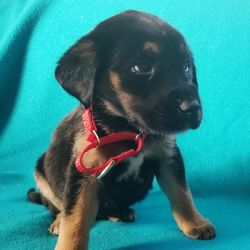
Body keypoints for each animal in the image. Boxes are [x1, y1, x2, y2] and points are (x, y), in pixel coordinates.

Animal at [27, 10, 215, 250]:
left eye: (186, 67)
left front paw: (196, 223)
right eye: (141, 67)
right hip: (41, 172)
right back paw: (59, 221)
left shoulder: (168, 156)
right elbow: (76, 217)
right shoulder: (85, 171)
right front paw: (69, 244)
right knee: (58, 206)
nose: (192, 108)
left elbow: (182, 193)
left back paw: (119, 213)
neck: (129, 128)